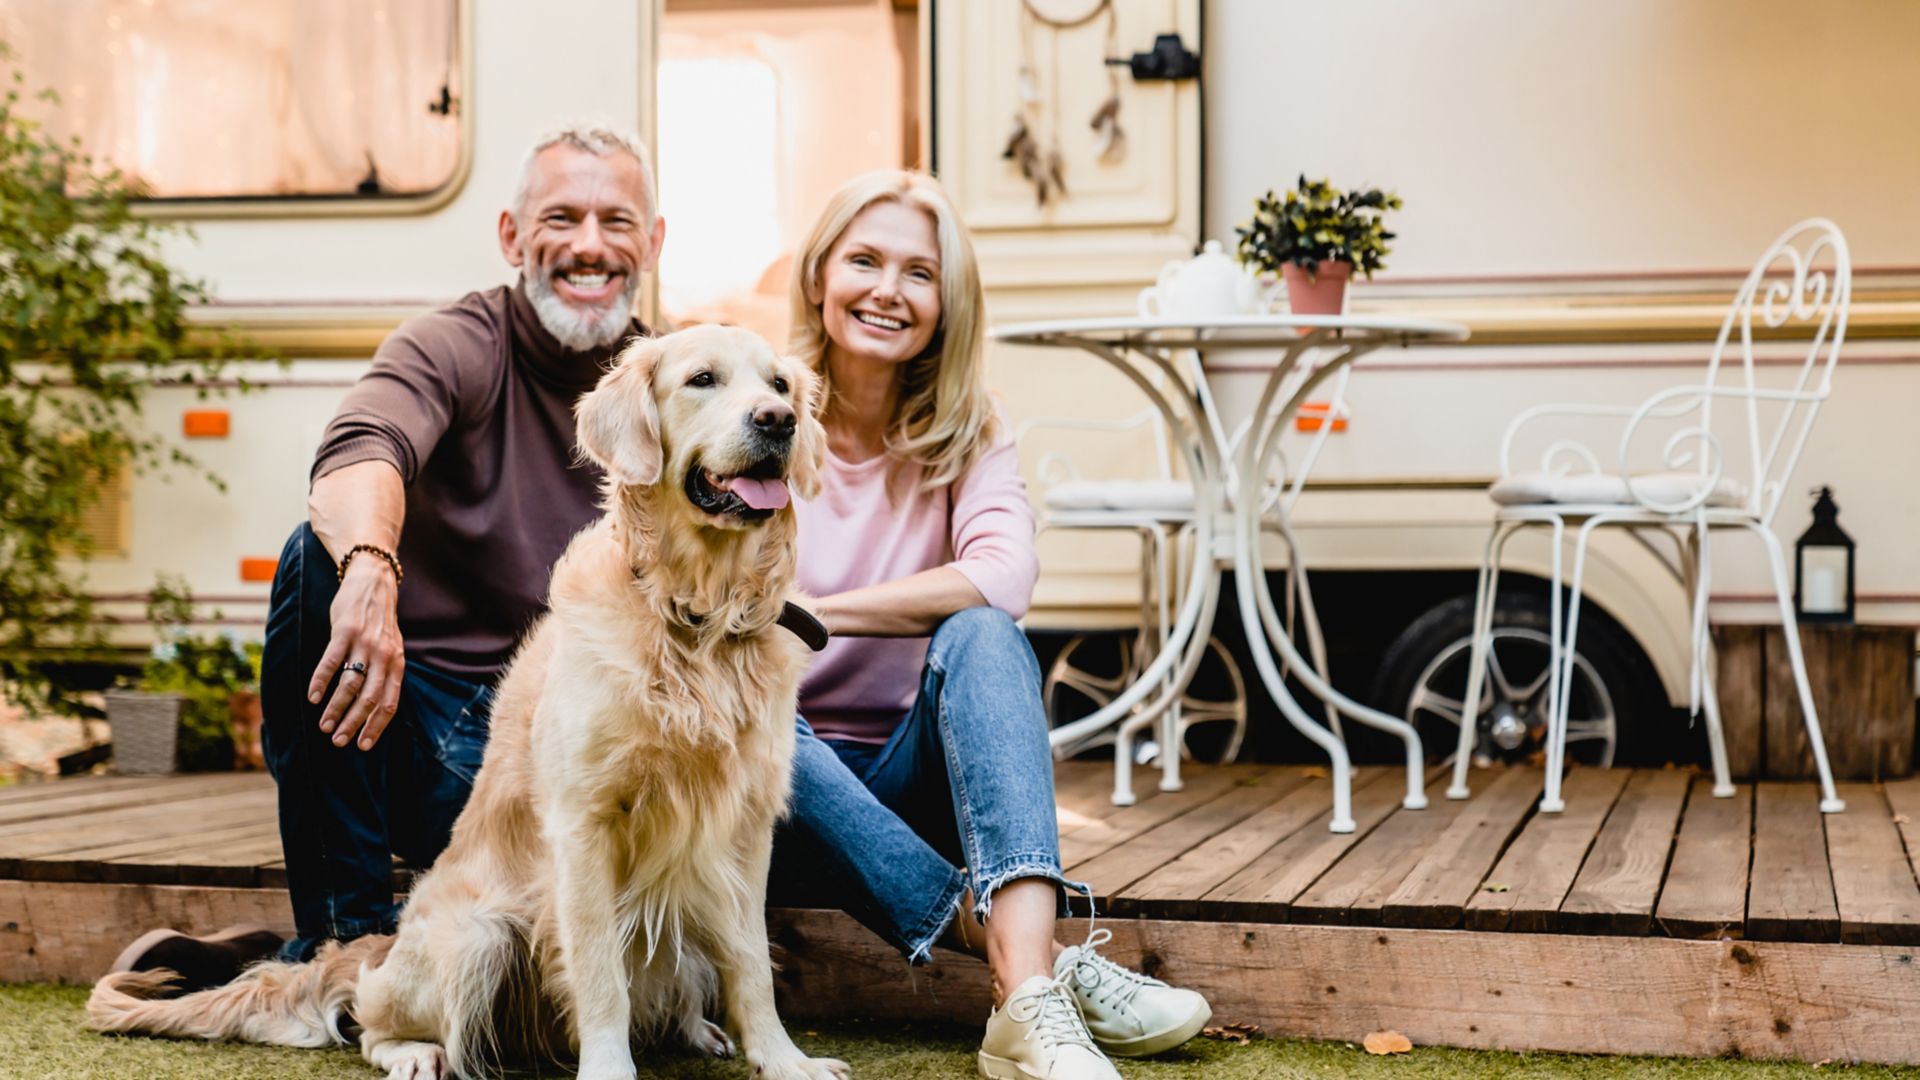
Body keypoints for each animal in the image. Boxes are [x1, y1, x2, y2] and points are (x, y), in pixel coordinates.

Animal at [84, 320, 848, 1076]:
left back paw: (699, 1031)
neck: (695, 617)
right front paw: (609, 1067)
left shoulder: (746, 826)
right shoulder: (584, 823)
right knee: (374, 1024)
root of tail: (379, 945)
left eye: (780, 385)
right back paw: (416, 1053)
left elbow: (751, 963)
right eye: (702, 380)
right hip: (480, 937)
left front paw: (785, 1060)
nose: (777, 421)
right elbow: (600, 970)